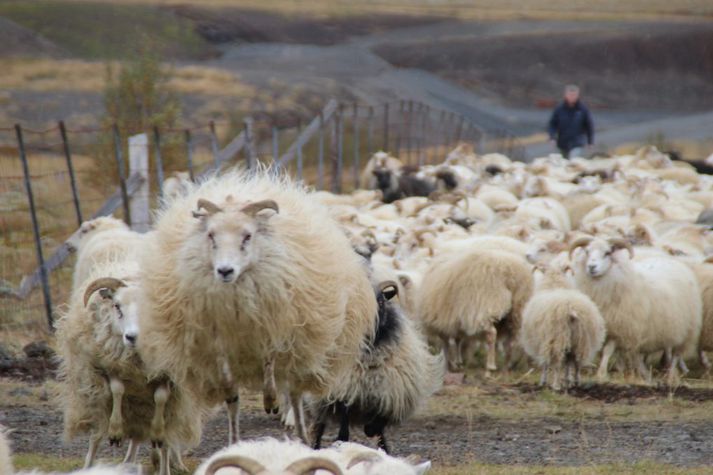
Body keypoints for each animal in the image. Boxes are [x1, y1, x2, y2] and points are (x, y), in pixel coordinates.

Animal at [54, 260, 200, 475]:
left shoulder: (167, 374)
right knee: (97, 436)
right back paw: (93, 463)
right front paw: (115, 430)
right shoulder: (111, 367)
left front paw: (156, 432)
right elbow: (118, 389)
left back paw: (160, 463)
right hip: (102, 401)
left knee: (163, 443)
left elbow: (160, 398)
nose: (132, 337)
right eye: (117, 306)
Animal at [136, 171, 376, 442]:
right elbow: (228, 380)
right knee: (235, 402)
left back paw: (299, 431)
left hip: (300, 352)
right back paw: (235, 438)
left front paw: (271, 400)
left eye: (247, 236)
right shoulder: (216, 337)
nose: (225, 271)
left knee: (294, 393)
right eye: (211, 235)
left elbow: (269, 365)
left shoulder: (273, 327)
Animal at [568, 236, 700, 384]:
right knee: (659, 350)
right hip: (665, 327)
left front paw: (601, 374)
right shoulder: (611, 330)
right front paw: (619, 371)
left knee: (675, 354)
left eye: (607, 253)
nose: (591, 267)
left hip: (687, 329)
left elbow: (608, 350)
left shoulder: (621, 327)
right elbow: (612, 352)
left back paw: (670, 375)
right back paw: (647, 373)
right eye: (587, 251)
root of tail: (672, 261)